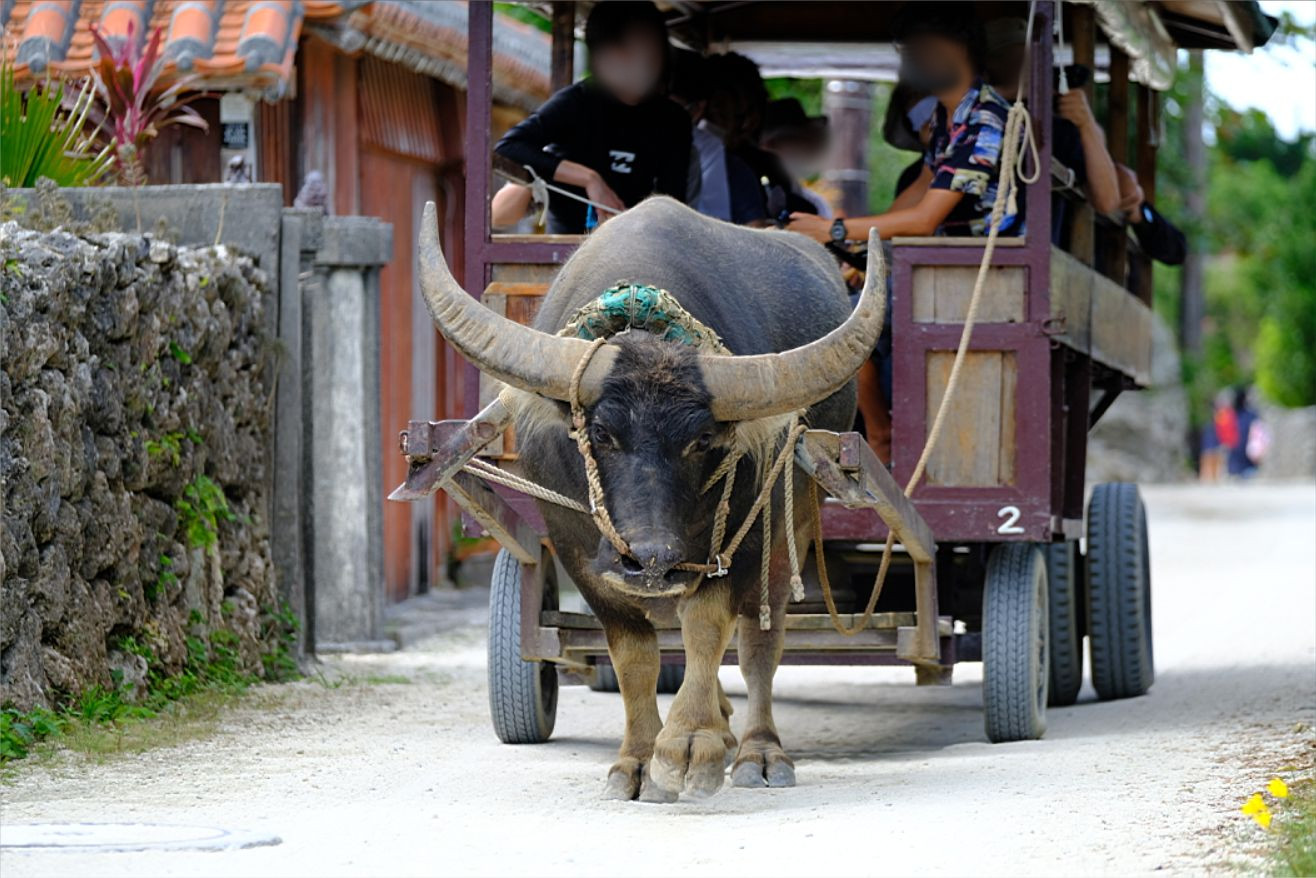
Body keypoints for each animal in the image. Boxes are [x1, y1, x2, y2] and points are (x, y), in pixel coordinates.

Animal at [415, 197, 884, 805]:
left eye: (701, 440)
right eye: (599, 433)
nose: (651, 560)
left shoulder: (734, 544)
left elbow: (708, 628)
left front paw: (689, 745)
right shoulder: (579, 550)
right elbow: (633, 653)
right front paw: (638, 760)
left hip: (793, 517)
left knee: (761, 637)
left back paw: (757, 751)